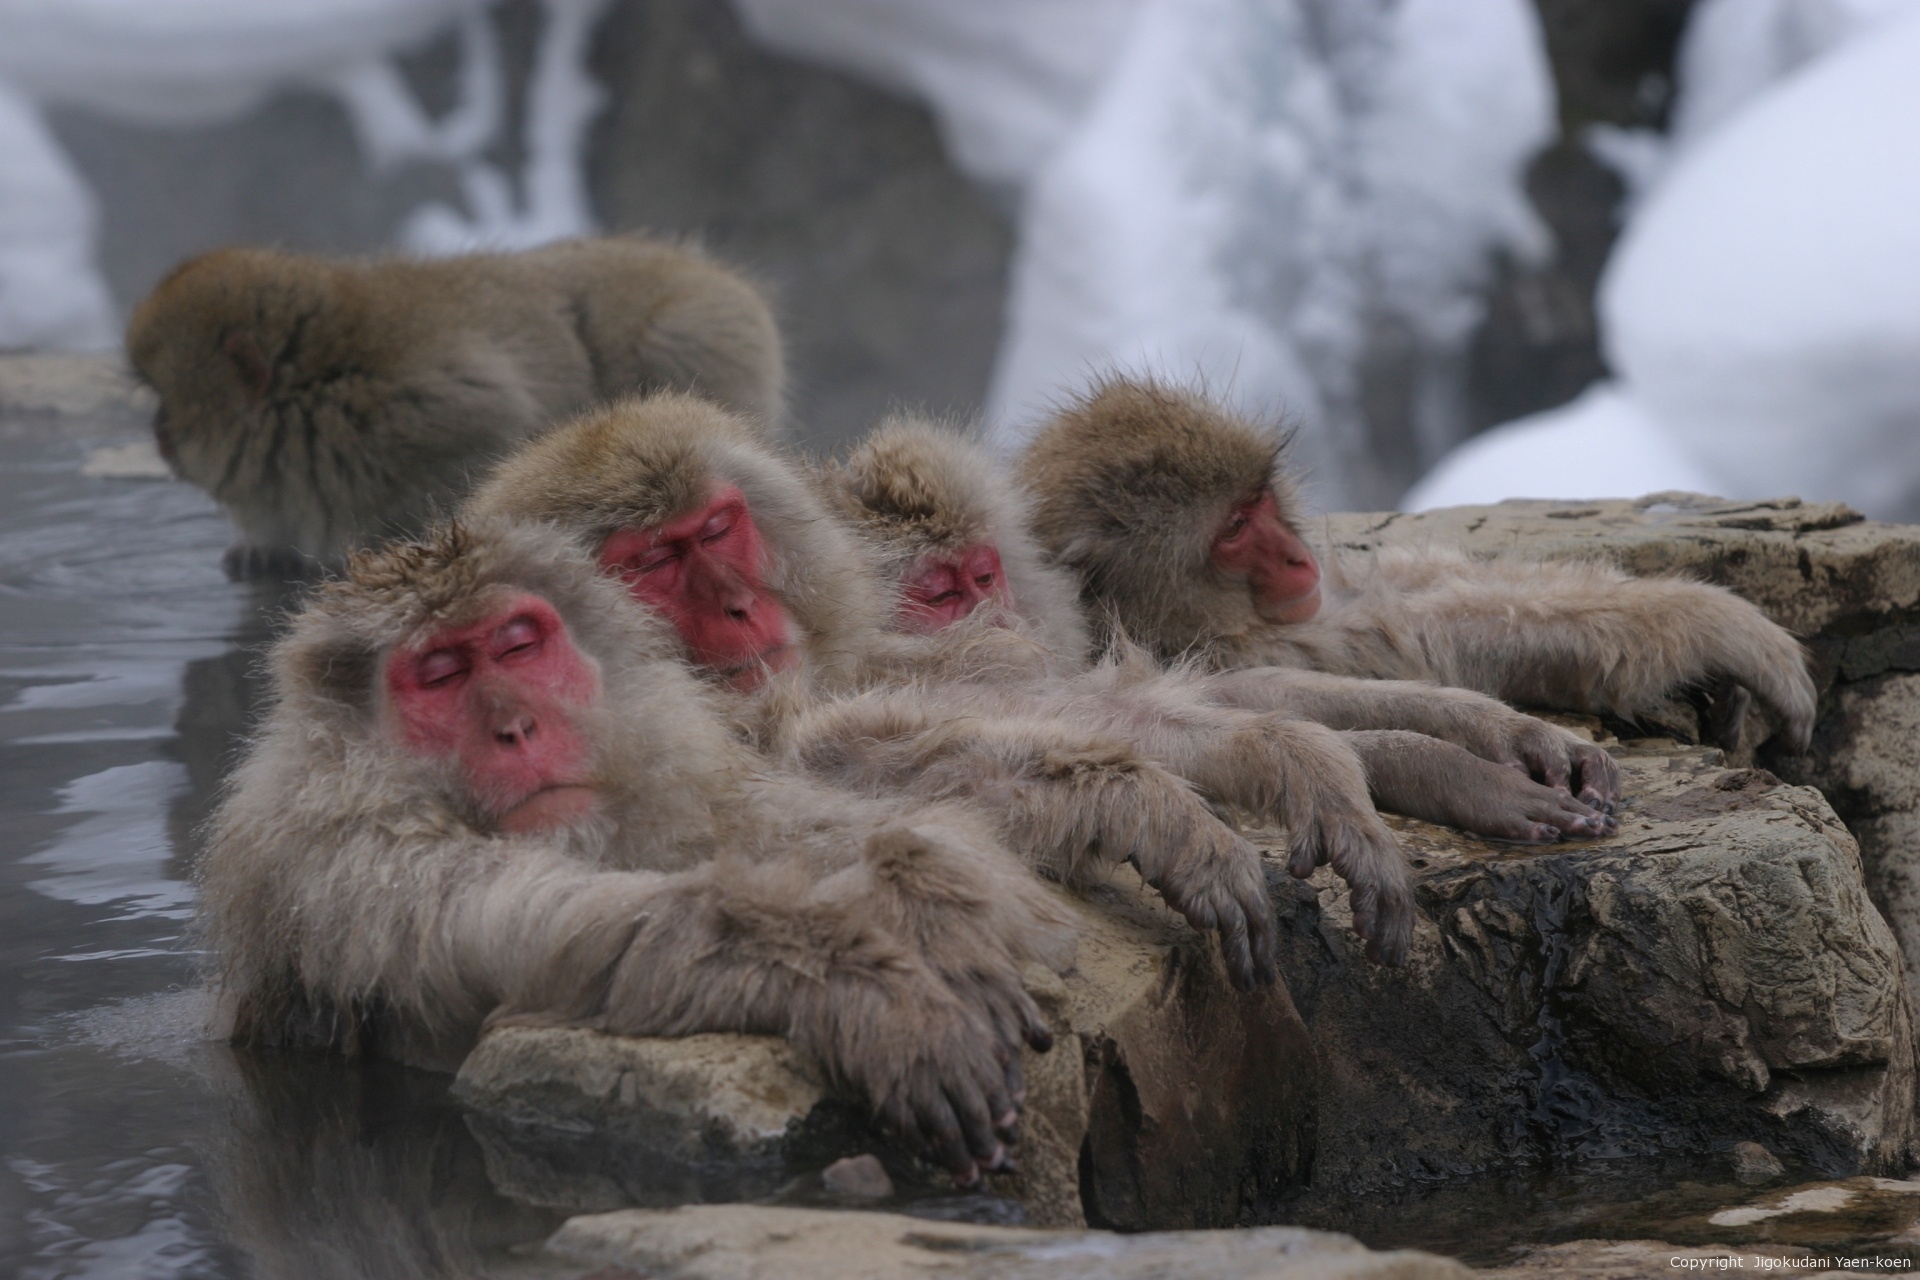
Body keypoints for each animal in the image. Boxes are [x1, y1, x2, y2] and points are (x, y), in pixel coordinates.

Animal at [128, 235, 784, 578]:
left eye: (166, 403)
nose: (157, 436)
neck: (314, 392)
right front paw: (262, 549)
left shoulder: (430, 409)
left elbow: (495, 433)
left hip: (700, 332)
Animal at [196, 517, 1071, 1184]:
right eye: (440, 675)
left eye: (517, 647)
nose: (517, 727)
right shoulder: (351, 863)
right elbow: (546, 930)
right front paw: (867, 989)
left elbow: (798, 824)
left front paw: (929, 901)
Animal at [825, 414, 1624, 848]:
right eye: (939, 596)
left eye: (983, 576)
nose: (1000, 617)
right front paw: (1454, 775)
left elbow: (1232, 693)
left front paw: (1484, 735)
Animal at [1014, 377, 1819, 755]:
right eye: (1235, 530)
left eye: (1258, 500)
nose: (1295, 556)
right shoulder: (1239, 647)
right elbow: (1424, 636)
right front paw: (1714, 622)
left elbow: (1401, 585)